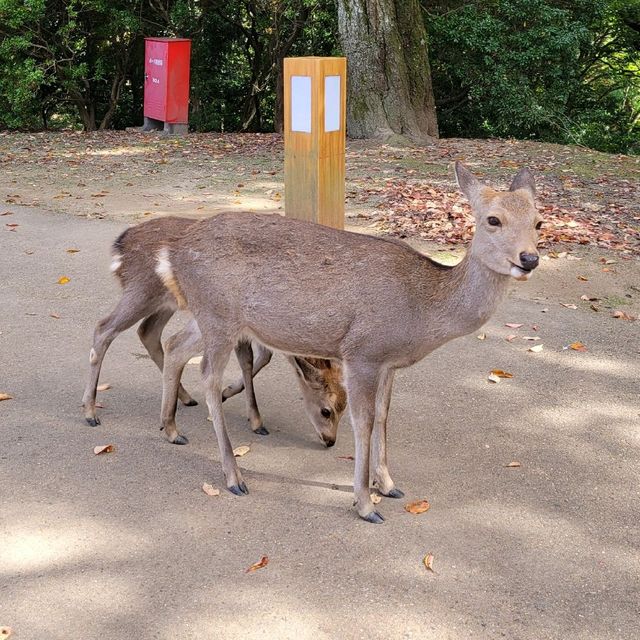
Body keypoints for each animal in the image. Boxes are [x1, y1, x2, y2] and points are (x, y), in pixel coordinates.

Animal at [84, 215, 348, 444]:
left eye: (344, 406)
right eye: (327, 410)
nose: (330, 441)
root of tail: (120, 245)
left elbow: (257, 358)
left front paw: (237, 402)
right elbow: (253, 358)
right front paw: (250, 414)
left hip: (166, 303)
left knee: (148, 331)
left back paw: (185, 397)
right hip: (141, 291)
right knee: (104, 328)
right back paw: (90, 413)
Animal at [158, 162, 544, 524]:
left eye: (538, 222)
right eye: (493, 219)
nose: (530, 259)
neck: (420, 312)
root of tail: (171, 254)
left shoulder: (389, 361)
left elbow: (385, 416)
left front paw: (388, 485)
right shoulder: (362, 352)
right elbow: (365, 421)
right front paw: (365, 504)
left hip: (207, 315)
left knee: (174, 345)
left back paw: (171, 429)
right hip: (218, 316)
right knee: (208, 376)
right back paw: (234, 476)